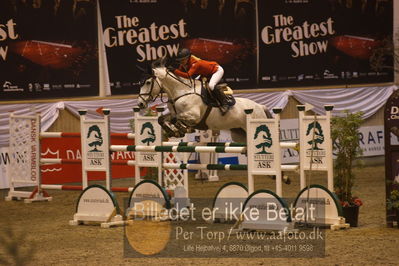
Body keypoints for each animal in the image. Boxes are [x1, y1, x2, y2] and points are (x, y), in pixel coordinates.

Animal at [138, 65, 272, 142]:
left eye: (148, 82)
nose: (140, 104)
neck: (181, 92)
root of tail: (260, 106)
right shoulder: (173, 113)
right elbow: (162, 119)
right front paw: (174, 132)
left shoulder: (193, 116)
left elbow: (176, 119)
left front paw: (183, 130)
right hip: (239, 134)